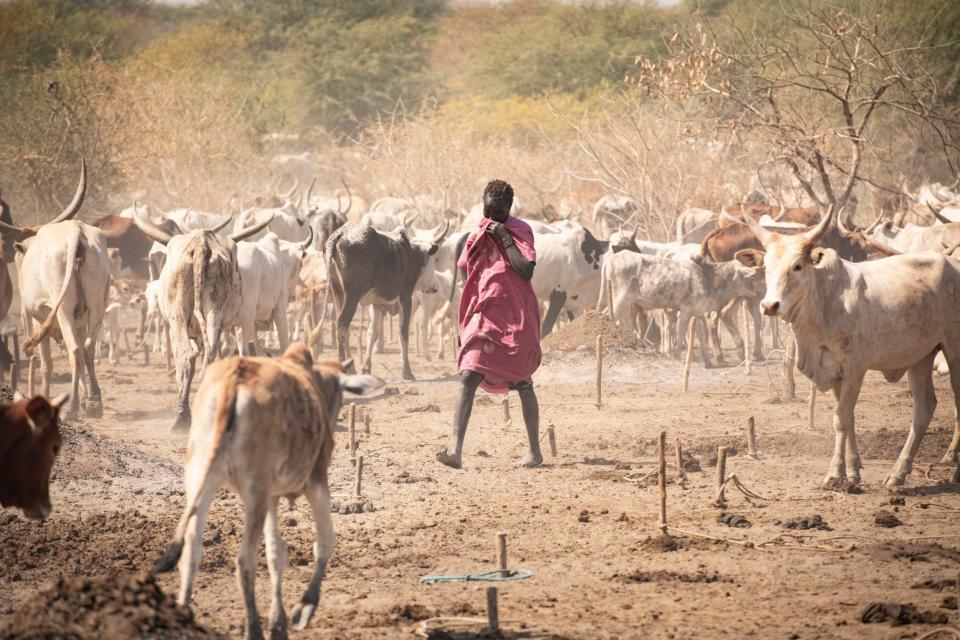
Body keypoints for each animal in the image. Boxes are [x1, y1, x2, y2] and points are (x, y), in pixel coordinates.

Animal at [153, 342, 378, 640]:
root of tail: (235, 379)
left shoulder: (272, 495)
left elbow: (275, 553)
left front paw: (278, 623)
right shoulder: (314, 480)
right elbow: (324, 542)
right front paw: (304, 608)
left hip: (202, 474)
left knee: (191, 548)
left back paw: (183, 620)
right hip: (255, 491)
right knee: (244, 560)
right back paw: (253, 630)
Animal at [744, 209, 960, 484]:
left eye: (797, 266)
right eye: (766, 268)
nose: (770, 305)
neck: (826, 301)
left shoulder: (855, 368)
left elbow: (841, 419)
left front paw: (836, 473)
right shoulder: (835, 371)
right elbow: (848, 417)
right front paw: (854, 470)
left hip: (954, 351)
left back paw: (952, 471)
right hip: (921, 356)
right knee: (924, 408)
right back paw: (898, 473)